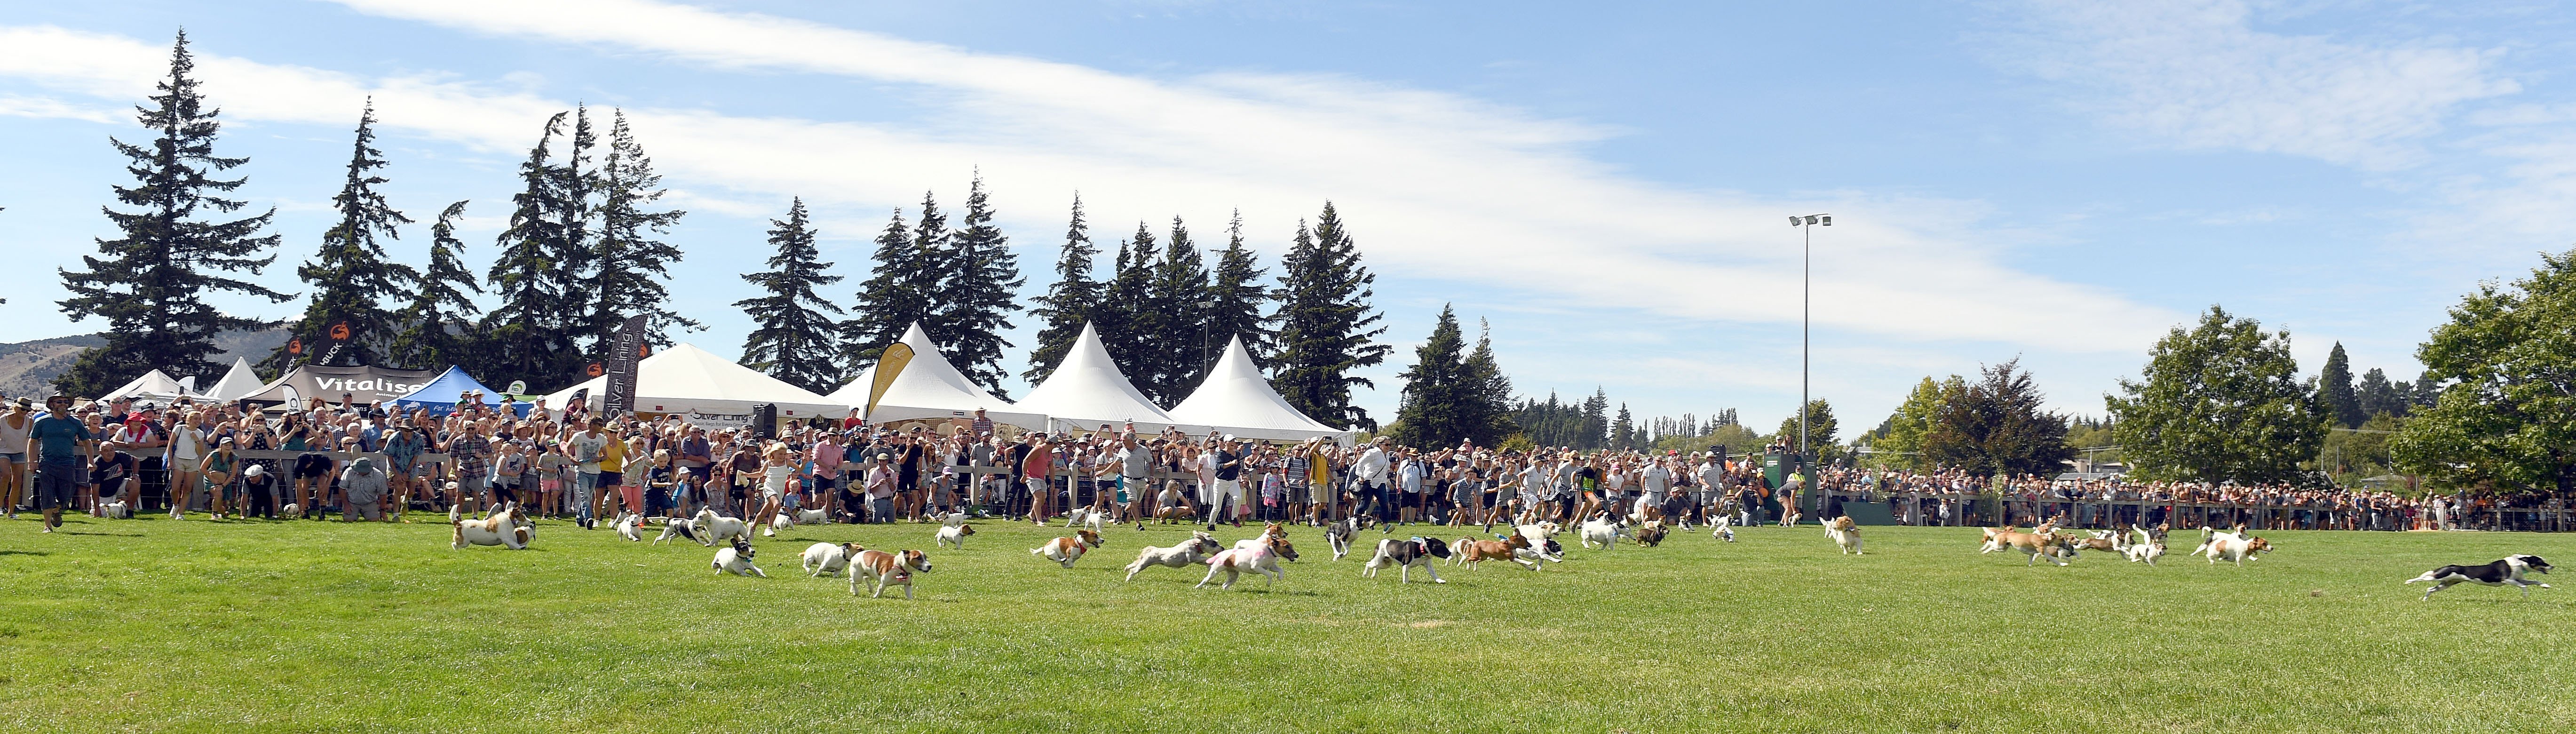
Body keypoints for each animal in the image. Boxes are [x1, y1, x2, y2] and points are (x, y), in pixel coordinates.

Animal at [451, 499, 531, 546]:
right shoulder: (506, 538)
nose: (531, 522)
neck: (510, 519)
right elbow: (515, 544)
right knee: (454, 545)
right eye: (524, 518)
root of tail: (459, 523)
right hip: (465, 542)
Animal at [850, 546, 932, 597]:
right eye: (918, 558)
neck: (900, 567)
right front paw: (875, 597)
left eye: (926, 558)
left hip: (870, 573)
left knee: (866, 578)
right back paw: (855, 591)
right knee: (851, 580)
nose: (930, 566)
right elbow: (879, 591)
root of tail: (856, 555)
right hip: (858, 577)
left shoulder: (908, 585)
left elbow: (909, 595)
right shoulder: (883, 584)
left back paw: (870, 589)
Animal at [1030, 525, 1102, 566]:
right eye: (1095, 536)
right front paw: (1068, 567)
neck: (1079, 544)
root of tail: (1044, 548)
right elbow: (1071, 565)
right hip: (1052, 553)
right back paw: (1063, 560)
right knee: (1057, 560)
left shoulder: (1075, 558)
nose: (1103, 540)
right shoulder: (1069, 556)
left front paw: (1066, 566)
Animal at [1360, 533, 1463, 579]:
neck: (1422, 549)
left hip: (1385, 563)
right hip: (1379, 560)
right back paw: (1365, 574)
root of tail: (1379, 542)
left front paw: (1440, 581)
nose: (1449, 553)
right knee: (1368, 564)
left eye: (1445, 545)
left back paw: (1373, 576)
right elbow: (1406, 576)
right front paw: (1406, 584)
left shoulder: (1428, 565)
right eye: (1440, 546)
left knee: (1376, 567)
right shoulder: (1406, 566)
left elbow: (1434, 574)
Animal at [2401, 551, 2545, 597]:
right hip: (2439, 576)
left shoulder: (2519, 580)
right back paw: (2409, 581)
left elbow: (2534, 582)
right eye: (2541, 561)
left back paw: (2425, 599)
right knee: (2422, 578)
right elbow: (2524, 587)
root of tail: (2450, 566)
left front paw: (2545, 586)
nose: (2550, 566)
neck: (2519, 563)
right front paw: (2526, 596)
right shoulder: (2507, 580)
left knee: (2430, 589)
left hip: (2447, 584)